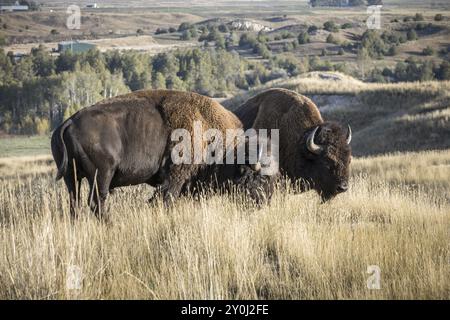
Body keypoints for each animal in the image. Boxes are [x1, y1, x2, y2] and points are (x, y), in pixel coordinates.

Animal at [51, 89, 278, 218]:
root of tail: (68, 122)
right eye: (260, 179)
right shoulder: (175, 177)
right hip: (101, 175)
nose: (265, 203)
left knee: (74, 203)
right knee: (97, 202)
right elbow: (166, 198)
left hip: (71, 178)